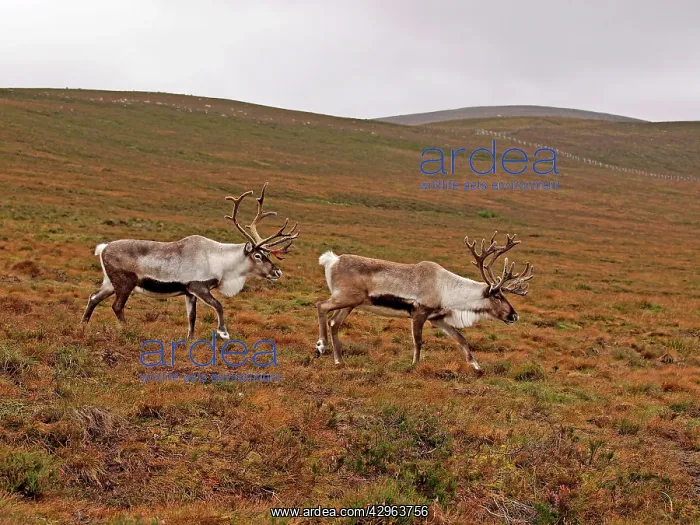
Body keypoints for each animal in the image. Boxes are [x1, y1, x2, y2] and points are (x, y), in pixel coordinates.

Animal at [81, 182, 299, 340]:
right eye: (258, 255)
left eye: (267, 254)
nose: (277, 272)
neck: (220, 261)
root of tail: (103, 248)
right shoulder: (199, 287)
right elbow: (219, 306)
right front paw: (223, 332)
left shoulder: (188, 292)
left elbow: (191, 317)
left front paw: (190, 339)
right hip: (125, 283)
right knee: (116, 306)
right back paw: (128, 330)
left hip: (110, 283)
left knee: (93, 297)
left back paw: (82, 326)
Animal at [314, 231, 533, 374]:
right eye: (497, 296)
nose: (514, 315)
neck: (446, 290)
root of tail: (331, 261)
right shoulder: (419, 313)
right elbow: (418, 342)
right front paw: (414, 365)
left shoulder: (437, 318)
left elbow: (461, 339)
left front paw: (476, 366)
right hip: (346, 297)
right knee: (320, 305)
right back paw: (321, 346)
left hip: (350, 303)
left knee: (334, 322)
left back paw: (338, 361)